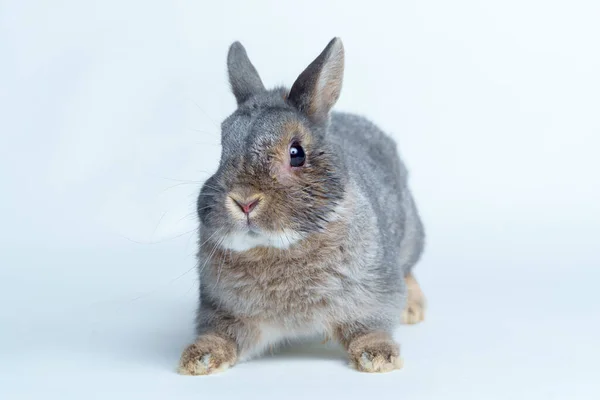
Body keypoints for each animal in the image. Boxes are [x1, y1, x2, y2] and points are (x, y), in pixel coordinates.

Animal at [178, 37, 426, 376]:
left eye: (296, 153)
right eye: (223, 147)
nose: (244, 200)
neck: (279, 247)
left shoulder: (375, 295)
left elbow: (370, 327)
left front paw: (379, 357)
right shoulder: (224, 310)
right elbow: (221, 334)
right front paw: (198, 359)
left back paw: (413, 309)